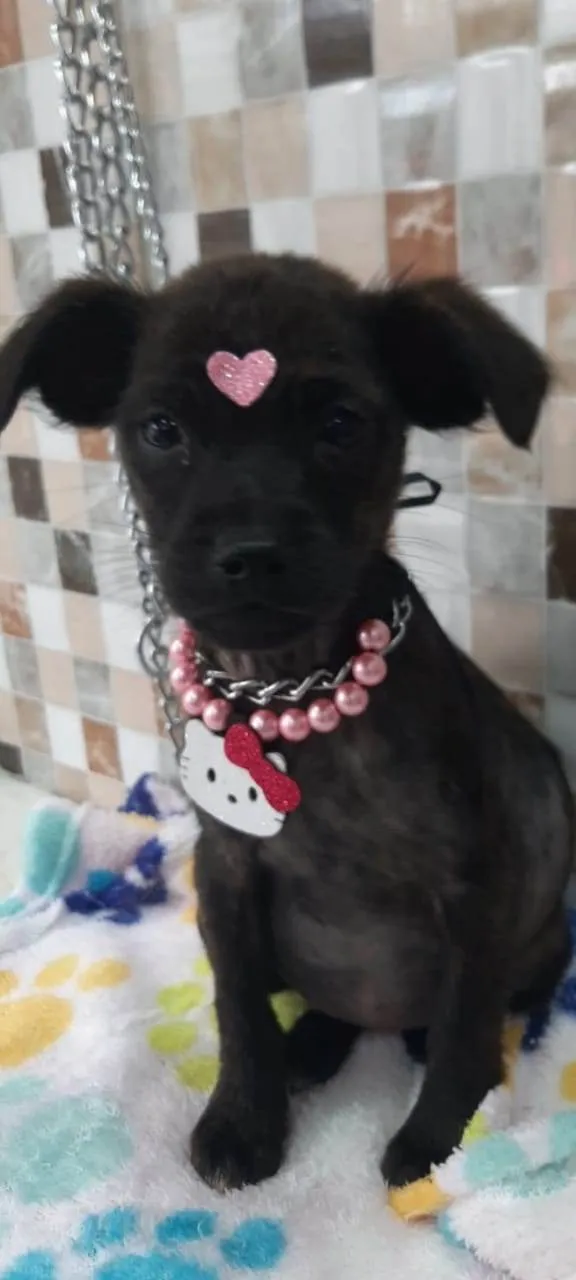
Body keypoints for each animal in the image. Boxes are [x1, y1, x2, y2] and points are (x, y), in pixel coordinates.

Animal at [0, 255, 573, 1193]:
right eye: (160, 429)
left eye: (340, 425)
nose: (251, 553)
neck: (290, 690)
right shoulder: (225, 881)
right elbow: (238, 1012)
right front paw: (244, 1119)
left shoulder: (473, 892)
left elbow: (461, 1028)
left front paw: (439, 1142)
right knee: (326, 1009)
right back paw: (309, 1047)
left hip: (535, 947)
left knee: (469, 1012)